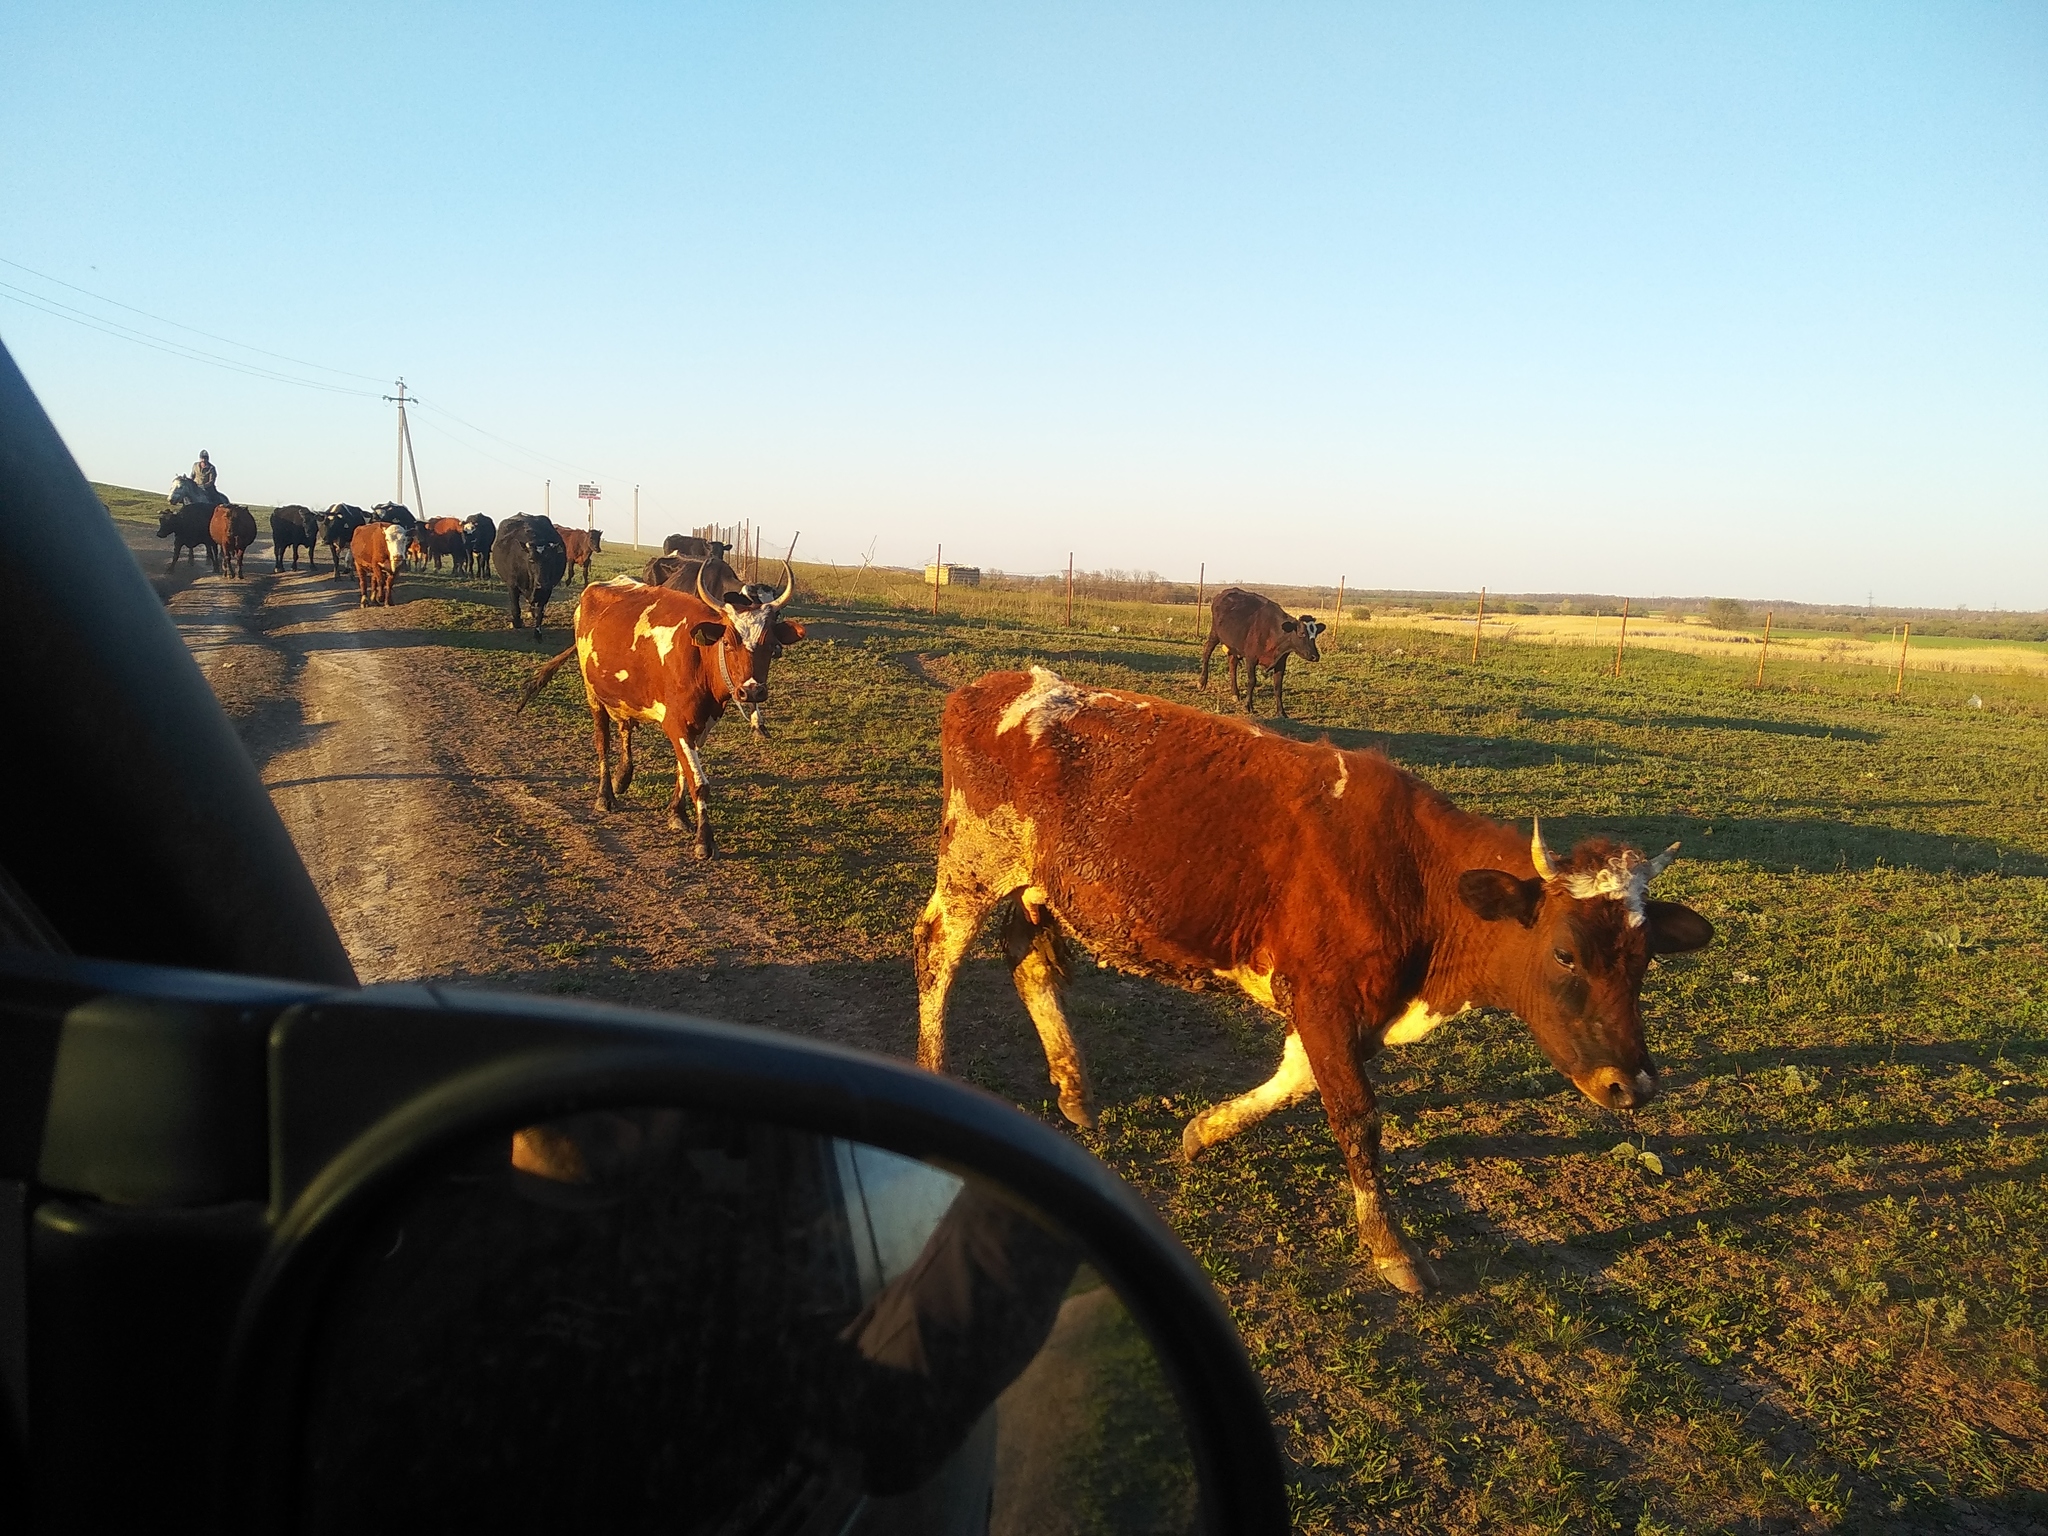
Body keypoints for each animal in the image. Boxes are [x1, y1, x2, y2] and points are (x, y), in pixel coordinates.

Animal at [516, 540, 802, 860]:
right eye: (728, 642)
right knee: (603, 741)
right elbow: (699, 782)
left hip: (624, 694)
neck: (699, 657)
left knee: (625, 728)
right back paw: (606, 794)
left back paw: (623, 776)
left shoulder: (701, 724)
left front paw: (677, 813)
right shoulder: (676, 723)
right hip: (593, 694)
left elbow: (683, 770)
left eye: (769, 643)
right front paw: (704, 840)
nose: (751, 692)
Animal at [917, 671, 1712, 1302]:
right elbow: (1357, 1115)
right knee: (936, 953)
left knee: (1028, 961)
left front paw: (1204, 1131)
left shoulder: (1342, 1005)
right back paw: (934, 1069)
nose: (1633, 1084)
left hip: (1036, 887)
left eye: (1644, 959)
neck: (1413, 875)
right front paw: (1392, 1247)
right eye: (1566, 953)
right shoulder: (1324, 994)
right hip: (973, 864)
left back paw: (1075, 1089)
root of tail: (995, 685)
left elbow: (1297, 1078)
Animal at [1196, 585, 1327, 720]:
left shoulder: (1280, 663)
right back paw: (1202, 682)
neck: (1274, 632)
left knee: (1232, 664)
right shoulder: (1251, 659)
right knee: (1207, 652)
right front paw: (1248, 706)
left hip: (1233, 645)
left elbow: (1278, 687)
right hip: (1215, 633)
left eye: (1316, 634)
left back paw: (1235, 693)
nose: (1315, 656)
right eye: (1302, 633)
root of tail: (1225, 592)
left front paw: (1281, 712)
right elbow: (1252, 681)